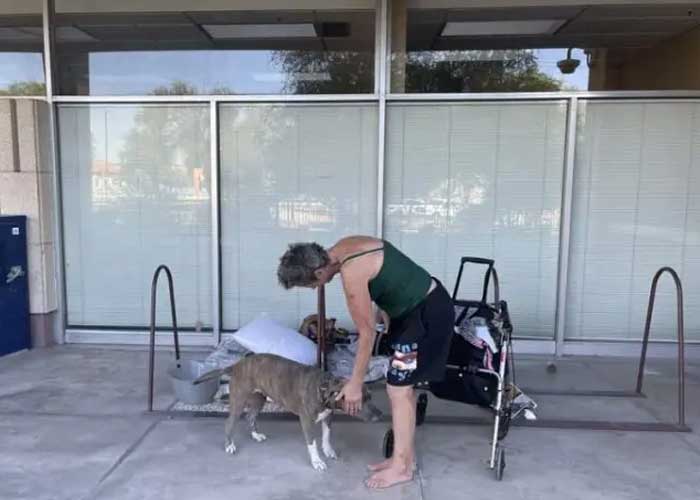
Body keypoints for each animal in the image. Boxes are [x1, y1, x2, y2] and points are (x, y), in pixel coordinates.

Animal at [194, 352, 380, 468]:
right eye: (359, 401)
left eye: (371, 396)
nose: (380, 415)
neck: (324, 388)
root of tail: (236, 365)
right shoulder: (307, 421)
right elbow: (312, 443)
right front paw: (317, 461)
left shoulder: (328, 416)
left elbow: (327, 436)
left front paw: (328, 451)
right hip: (239, 402)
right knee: (229, 423)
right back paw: (229, 445)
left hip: (259, 400)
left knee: (250, 417)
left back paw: (256, 435)